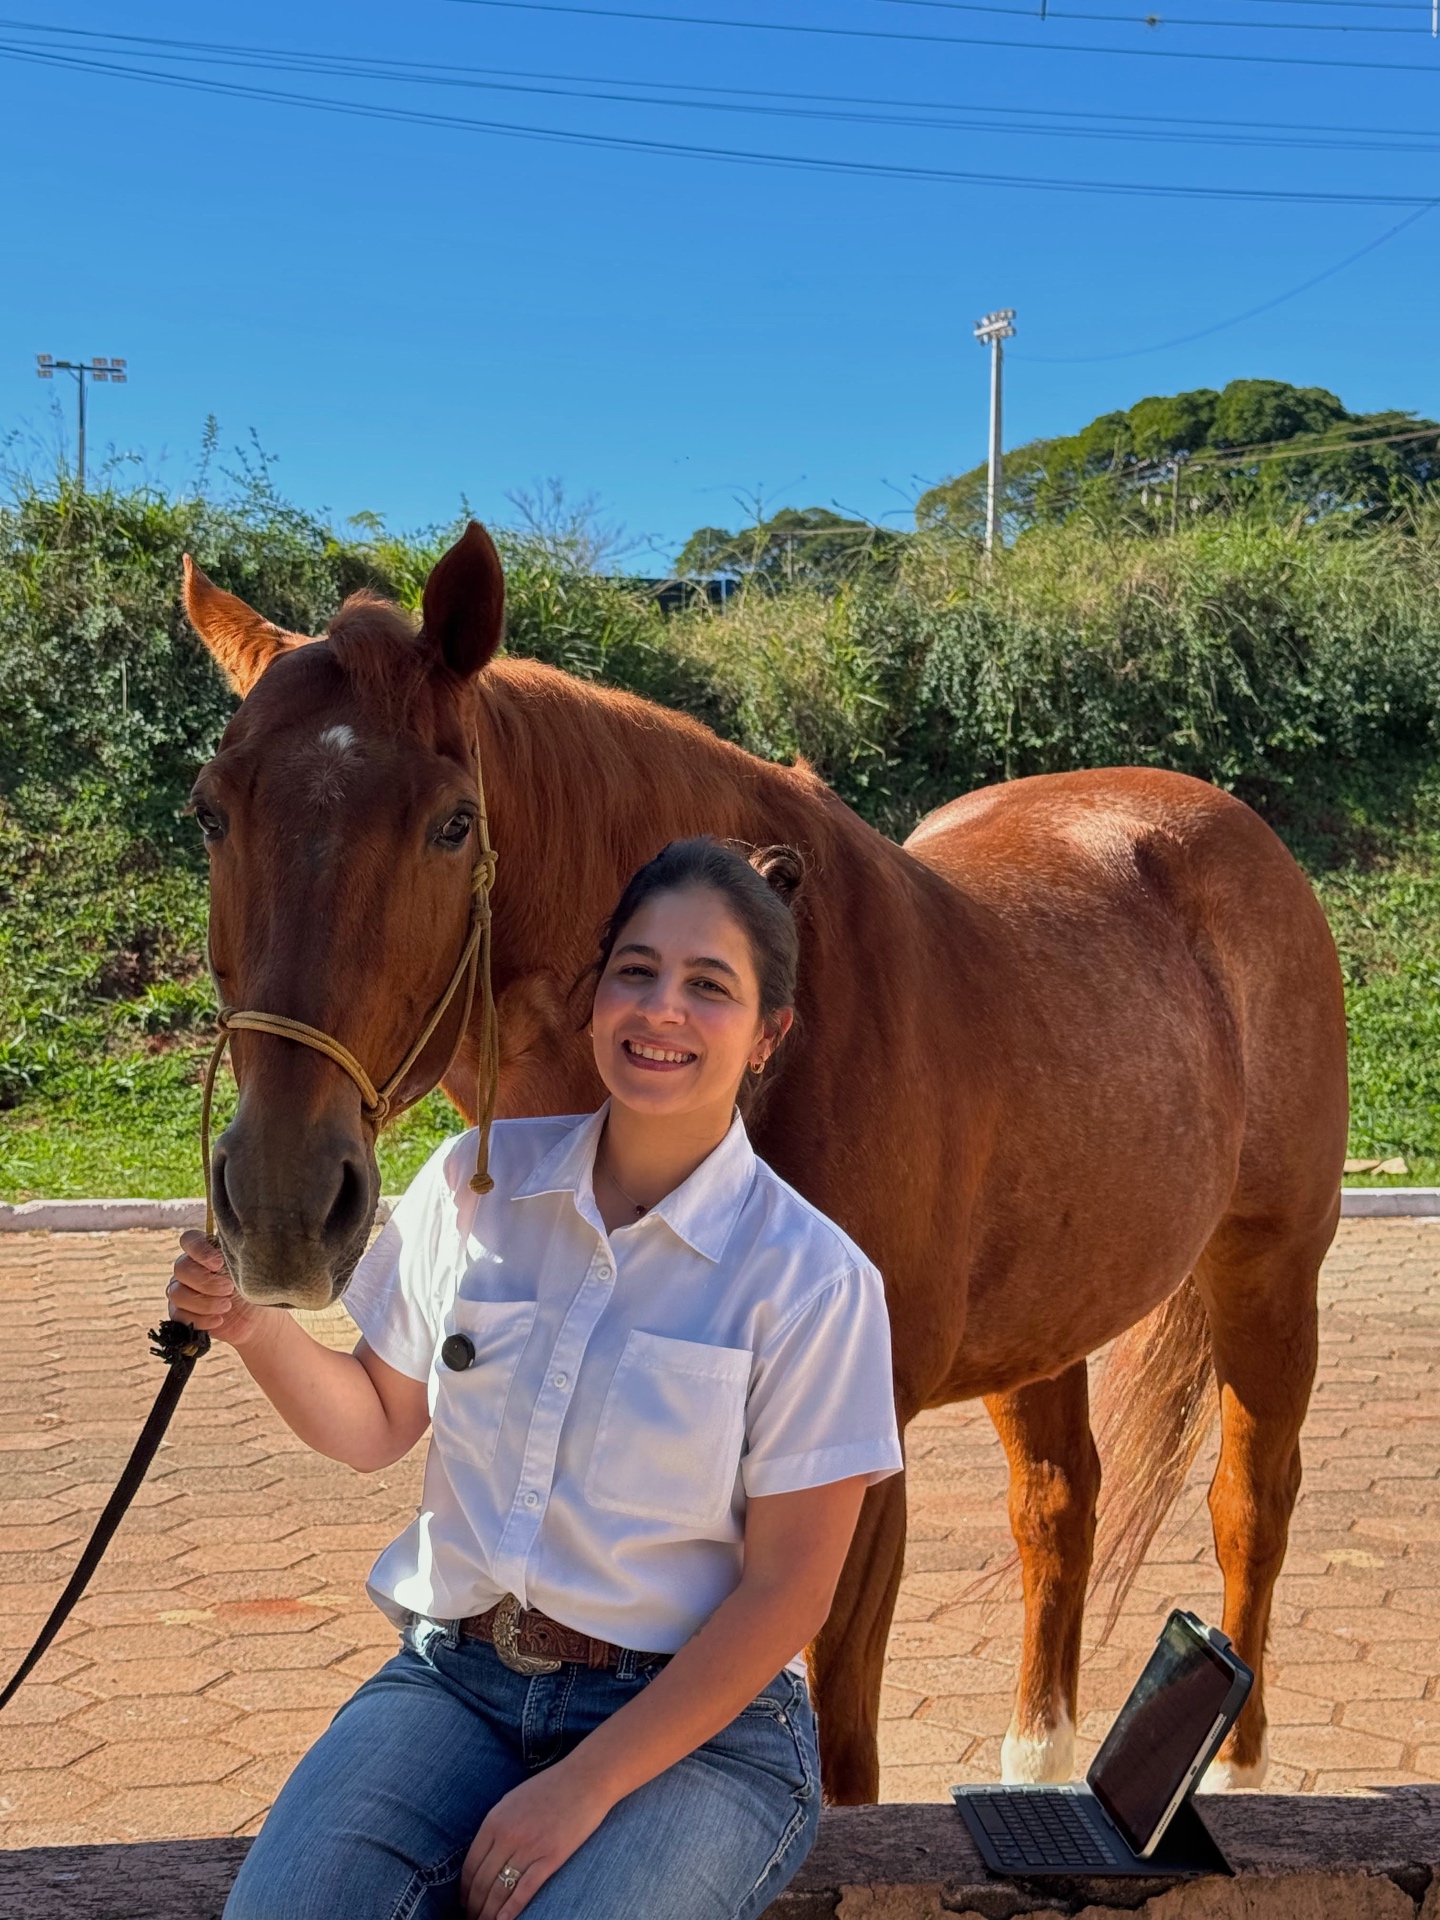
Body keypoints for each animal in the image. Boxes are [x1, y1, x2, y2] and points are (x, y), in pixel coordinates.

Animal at [181, 522, 1347, 1805]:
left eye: (451, 824)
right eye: (210, 814)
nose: (281, 1201)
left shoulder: (852, 1462)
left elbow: (836, 1738)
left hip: (1269, 1270)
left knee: (1252, 1503)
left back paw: (1234, 1770)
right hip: (1051, 1311)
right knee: (1059, 1507)